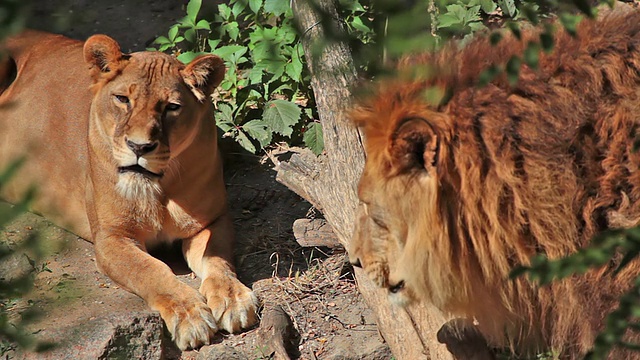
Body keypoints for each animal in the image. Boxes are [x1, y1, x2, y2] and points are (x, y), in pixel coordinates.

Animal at [1, 31, 260, 352]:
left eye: (171, 107)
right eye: (123, 99)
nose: (139, 147)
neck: (159, 187)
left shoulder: (212, 221)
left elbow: (218, 261)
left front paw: (233, 298)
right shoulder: (112, 238)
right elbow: (152, 271)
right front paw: (189, 315)